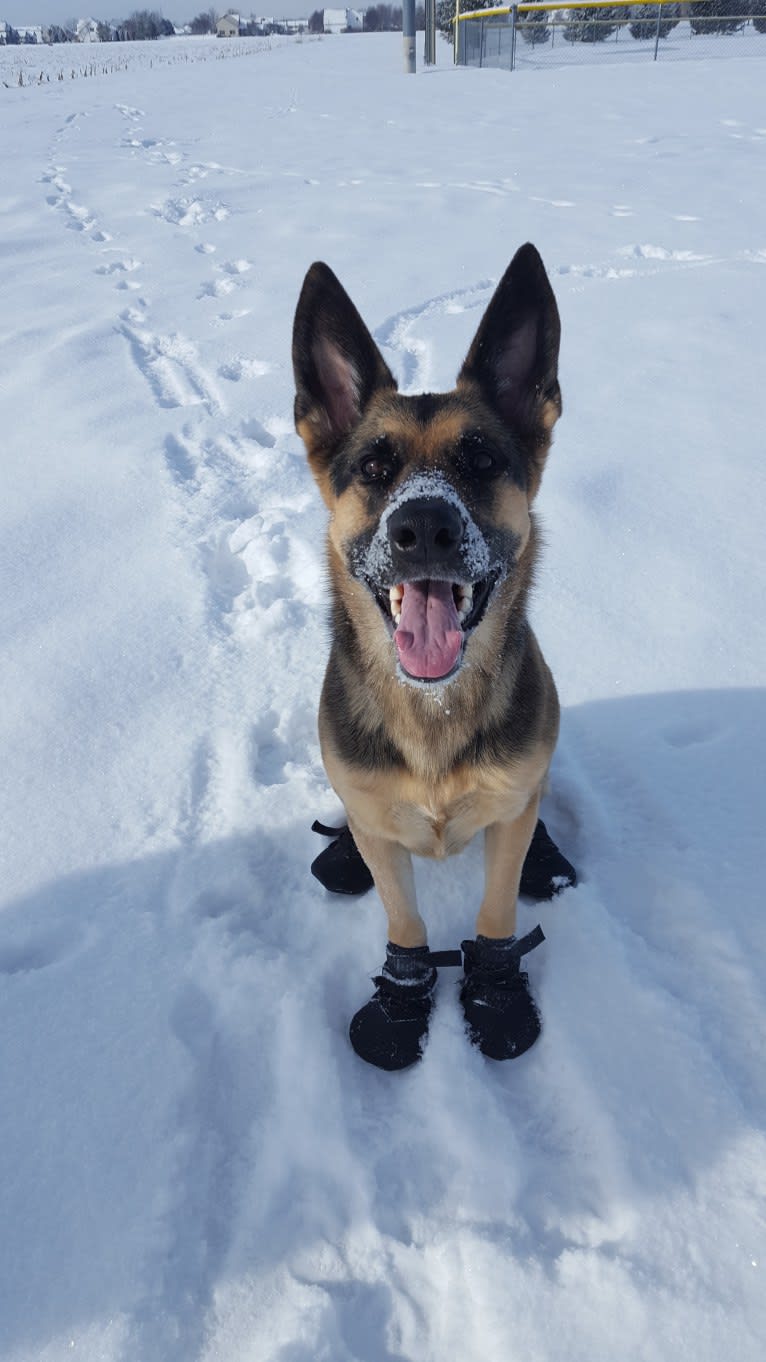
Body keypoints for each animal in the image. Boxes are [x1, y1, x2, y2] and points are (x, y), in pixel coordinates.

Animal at [291, 247, 572, 1073]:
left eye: (479, 457)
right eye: (372, 467)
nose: (422, 527)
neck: (433, 705)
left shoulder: (508, 814)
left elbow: (496, 907)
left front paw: (495, 988)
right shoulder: (382, 832)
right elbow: (406, 924)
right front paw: (403, 997)